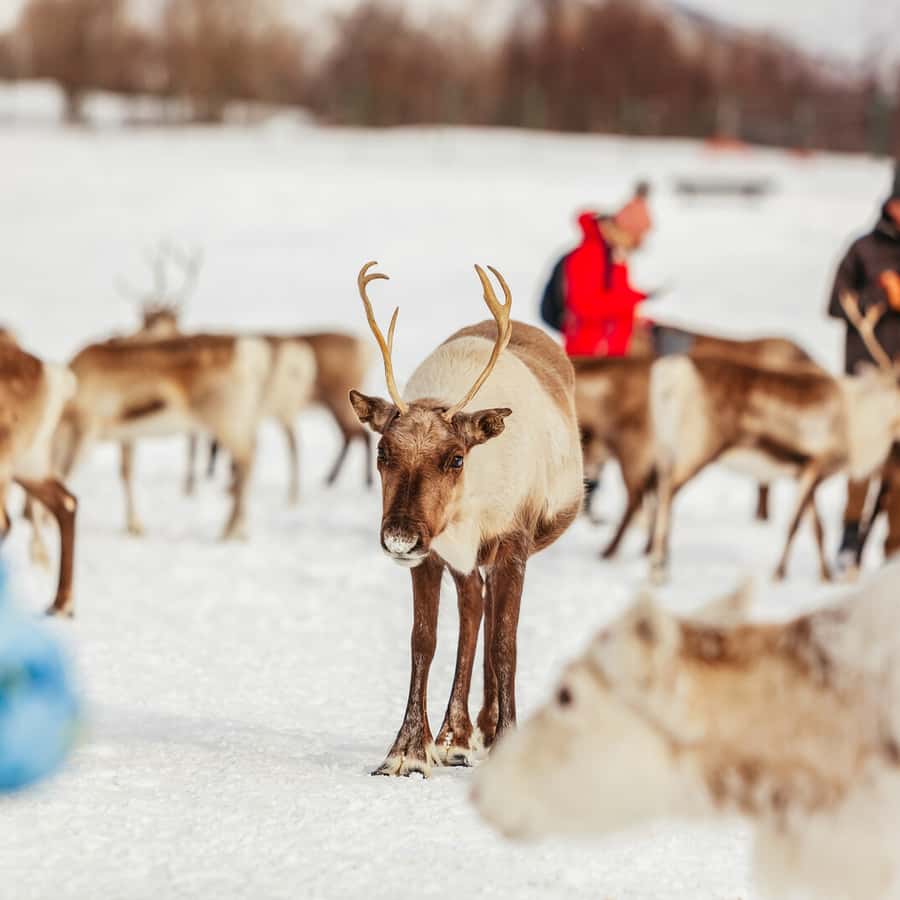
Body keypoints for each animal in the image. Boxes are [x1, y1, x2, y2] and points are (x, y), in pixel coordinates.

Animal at [349, 261, 583, 777]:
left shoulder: (512, 542)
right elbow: (424, 640)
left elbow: (505, 644)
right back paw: (455, 735)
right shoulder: (432, 555)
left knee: (489, 619)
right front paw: (407, 751)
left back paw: (481, 730)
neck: (465, 513)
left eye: (455, 457)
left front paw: (504, 741)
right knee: (473, 612)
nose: (399, 536)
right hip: (464, 562)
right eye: (382, 452)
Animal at [648, 295, 900, 584]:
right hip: (698, 447)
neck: (861, 423)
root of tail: (670, 375)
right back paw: (657, 570)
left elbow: (817, 528)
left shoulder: (803, 472)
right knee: (667, 492)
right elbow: (794, 524)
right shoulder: (816, 464)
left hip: (667, 447)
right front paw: (778, 574)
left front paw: (825, 576)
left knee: (660, 491)